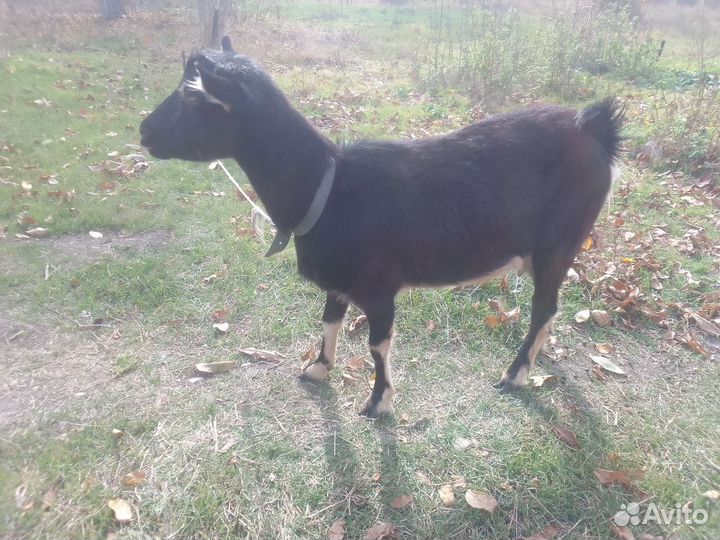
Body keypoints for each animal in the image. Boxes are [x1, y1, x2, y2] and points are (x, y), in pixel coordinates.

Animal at [140, 37, 622, 417]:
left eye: (194, 99)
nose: (144, 130)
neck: (328, 187)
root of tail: (593, 127)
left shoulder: (378, 287)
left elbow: (377, 345)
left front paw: (378, 403)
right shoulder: (339, 281)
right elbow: (329, 321)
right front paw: (317, 369)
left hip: (561, 240)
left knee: (544, 307)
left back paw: (515, 374)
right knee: (549, 310)